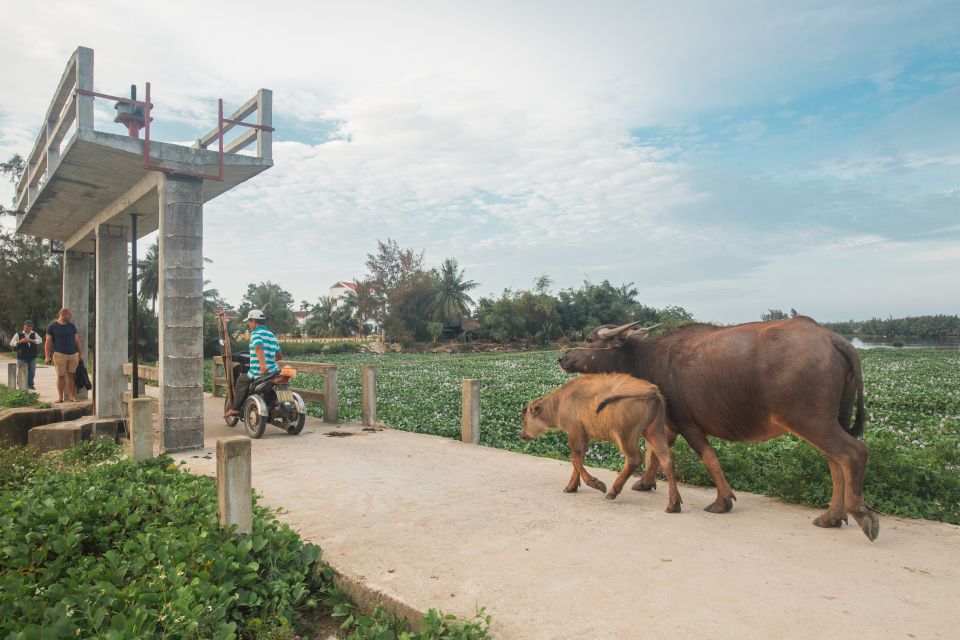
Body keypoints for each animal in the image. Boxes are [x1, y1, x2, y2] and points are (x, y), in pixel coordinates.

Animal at [516, 372, 684, 512]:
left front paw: (596, 484)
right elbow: (580, 459)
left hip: (625, 436)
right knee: (666, 458)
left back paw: (612, 491)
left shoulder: (575, 432)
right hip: (654, 432)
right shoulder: (584, 436)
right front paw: (571, 486)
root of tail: (652, 389)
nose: (521, 434)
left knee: (634, 459)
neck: (560, 402)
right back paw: (674, 504)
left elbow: (575, 459)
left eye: (525, 418)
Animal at [560, 316, 880, 540]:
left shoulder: (687, 423)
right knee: (836, 461)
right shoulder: (669, 422)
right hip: (830, 419)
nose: (562, 357)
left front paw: (723, 500)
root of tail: (834, 339)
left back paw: (862, 516)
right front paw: (645, 483)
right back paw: (831, 517)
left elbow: (708, 458)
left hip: (810, 419)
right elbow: (656, 453)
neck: (652, 360)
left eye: (589, 338)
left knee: (854, 453)